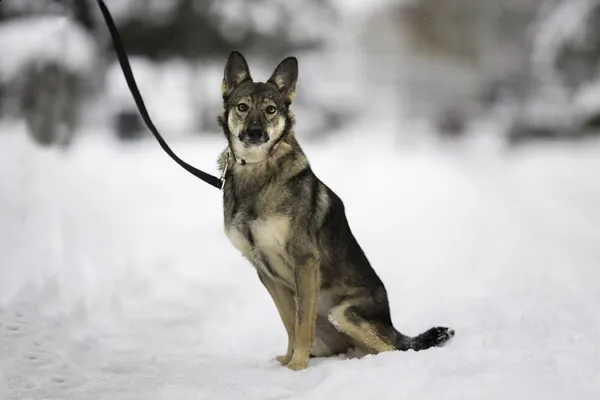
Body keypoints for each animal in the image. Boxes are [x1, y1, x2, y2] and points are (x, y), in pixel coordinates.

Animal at [217, 51, 454, 370]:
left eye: (270, 110)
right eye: (242, 107)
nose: (255, 133)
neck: (257, 170)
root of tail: (392, 327)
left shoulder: (304, 262)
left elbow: (301, 324)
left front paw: (297, 366)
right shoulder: (266, 272)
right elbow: (290, 322)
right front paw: (289, 360)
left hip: (343, 313)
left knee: (393, 349)